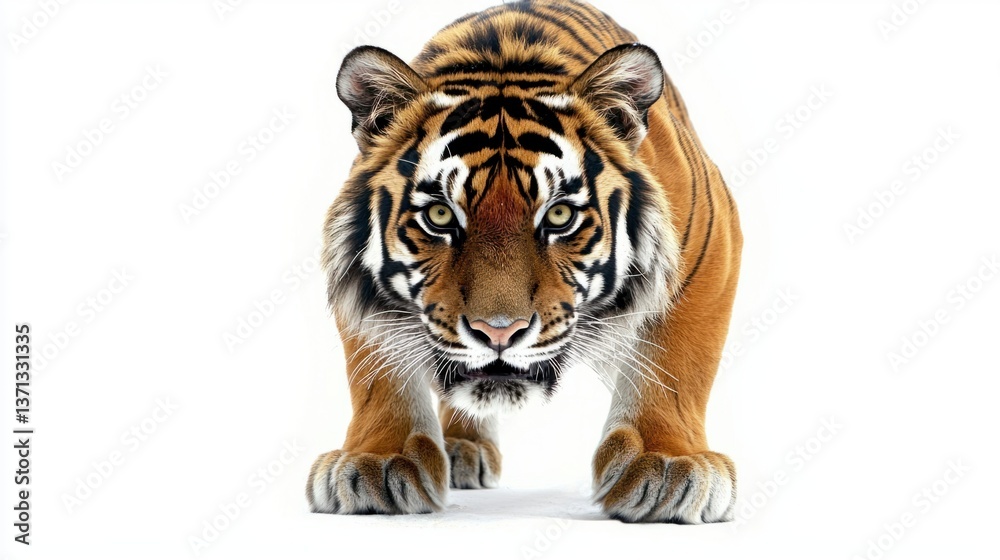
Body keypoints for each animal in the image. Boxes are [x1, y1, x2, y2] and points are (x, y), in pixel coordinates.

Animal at [306, 0, 742, 523]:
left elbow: (675, 367)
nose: (499, 332)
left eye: (559, 215)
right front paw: (378, 459)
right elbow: (378, 368)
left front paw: (668, 461)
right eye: (439, 215)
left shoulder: (710, 248)